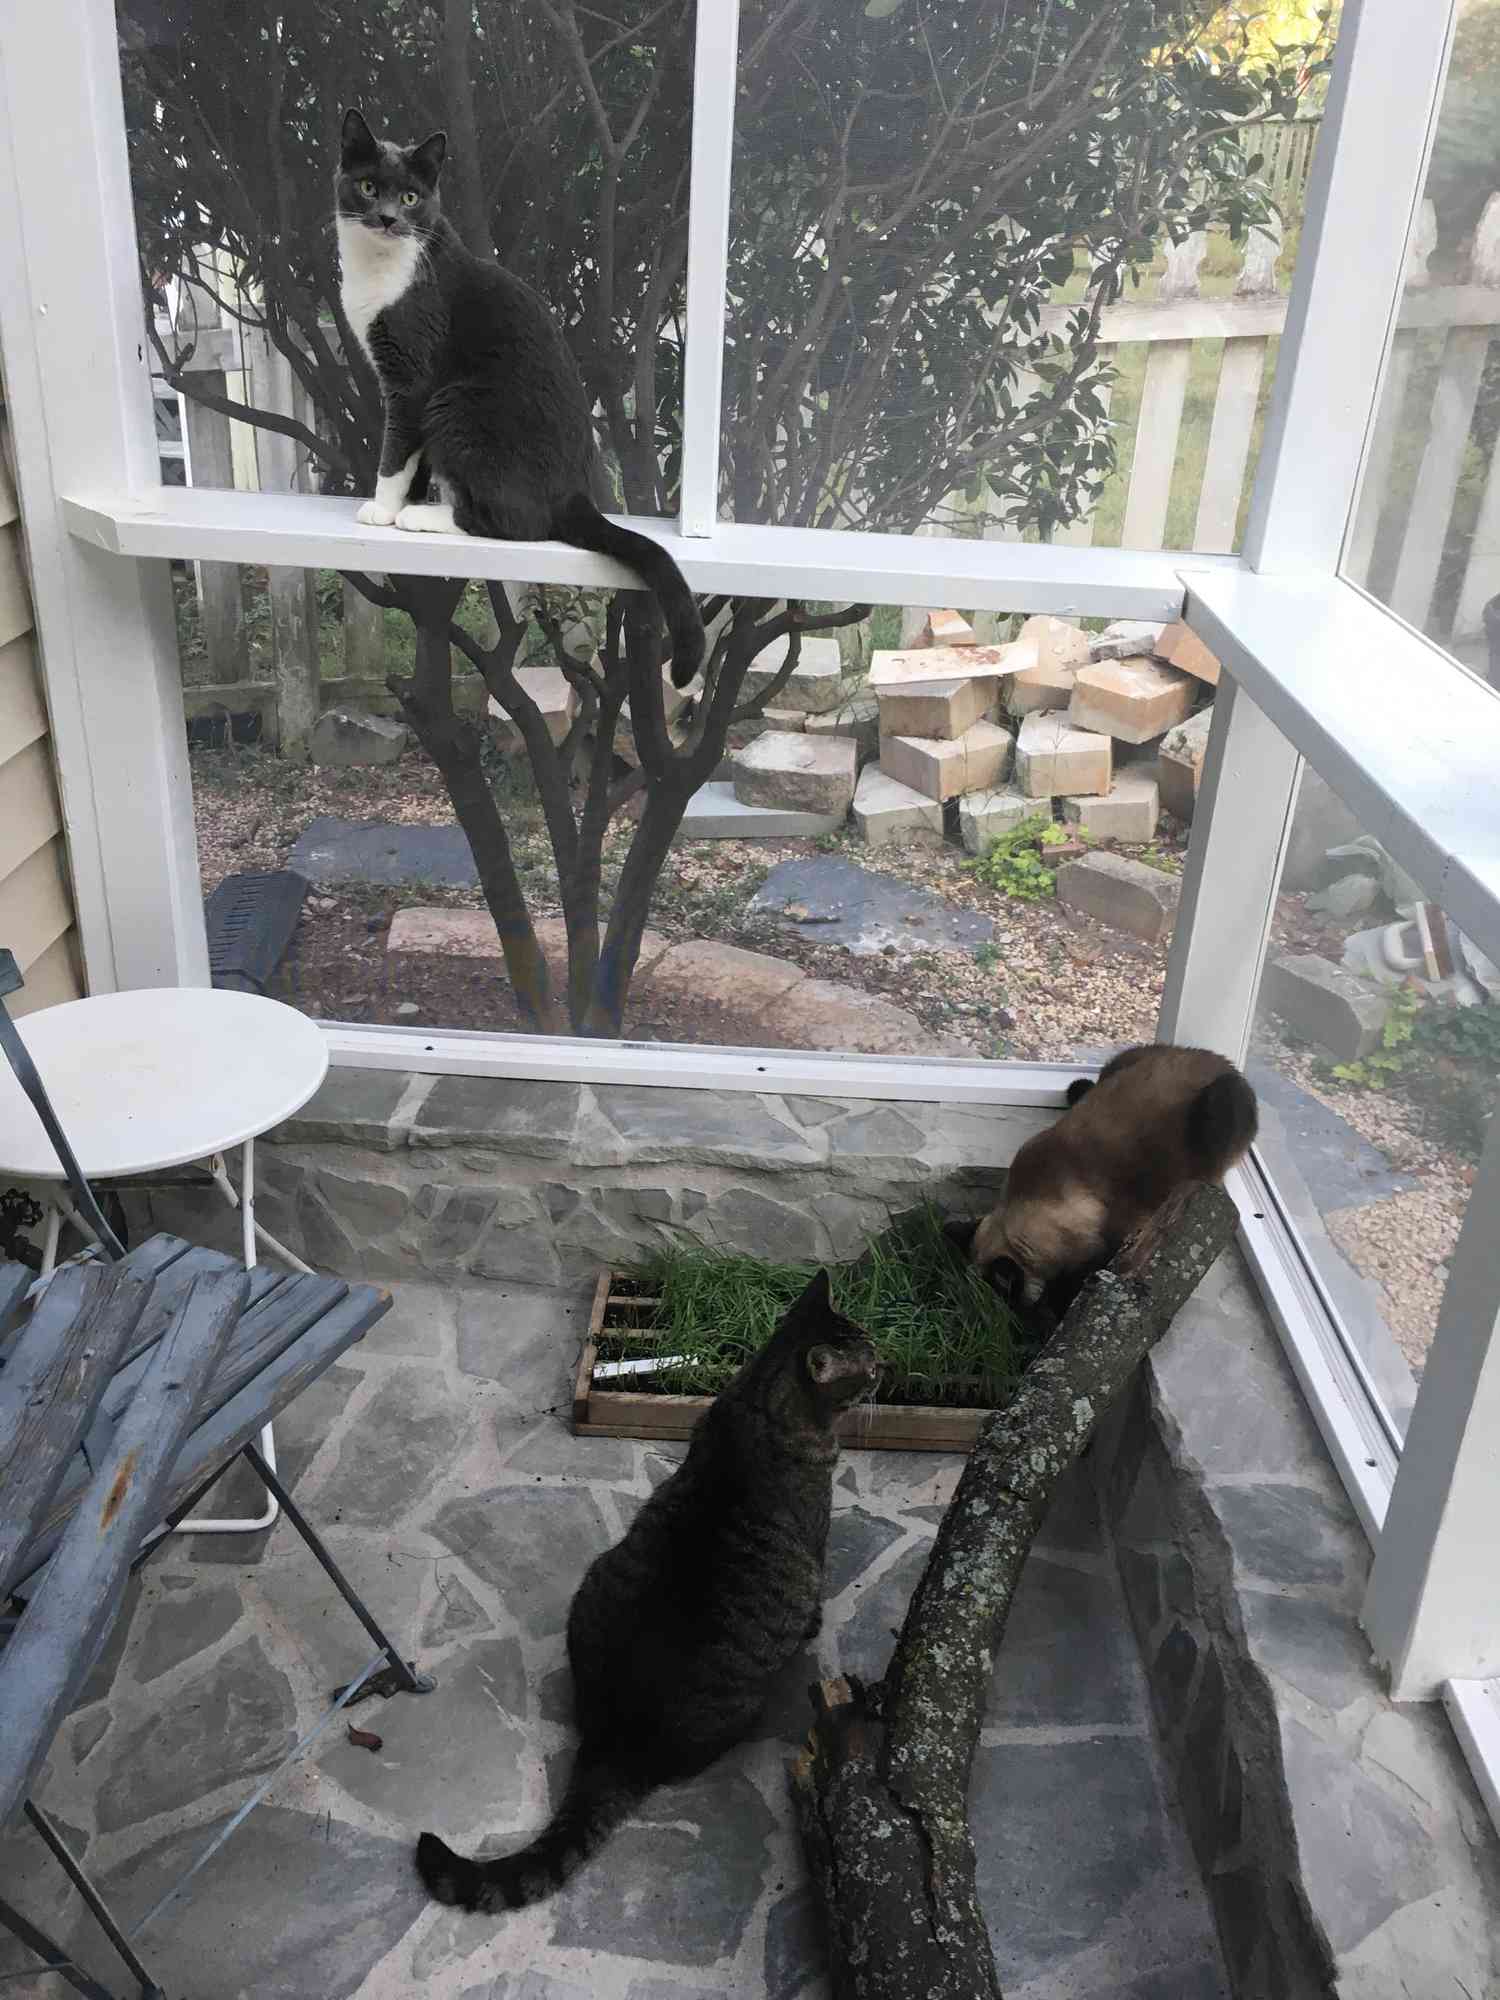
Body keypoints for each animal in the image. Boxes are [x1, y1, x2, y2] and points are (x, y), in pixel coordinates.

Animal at [334, 109, 704, 688]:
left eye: (412, 197)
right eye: (369, 187)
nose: (390, 217)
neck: (384, 266)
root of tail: (575, 495)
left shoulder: (413, 378)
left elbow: (395, 449)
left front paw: (385, 507)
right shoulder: (408, 386)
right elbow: (414, 457)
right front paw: (409, 498)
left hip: (461, 405)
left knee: (518, 525)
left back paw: (431, 519)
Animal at [414, 1272, 880, 1912]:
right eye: (870, 1363)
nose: (886, 1364)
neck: (761, 1403)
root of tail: (612, 1741)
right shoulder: (816, 1541)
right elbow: (815, 1591)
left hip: (595, 1580)